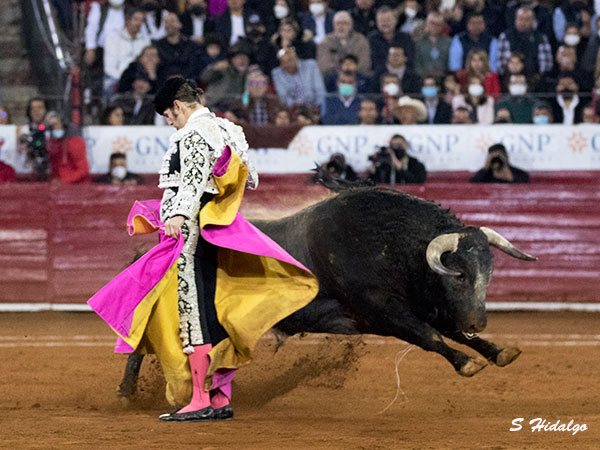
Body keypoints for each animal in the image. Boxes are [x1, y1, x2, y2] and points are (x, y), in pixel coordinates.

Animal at [117, 186, 536, 398]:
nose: (478, 321)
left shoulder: (423, 306)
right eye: (459, 274)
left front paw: (498, 352)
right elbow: (430, 336)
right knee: (140, 347)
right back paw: (129, 392)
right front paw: (468, 363)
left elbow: (447, 331)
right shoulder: (382, 311)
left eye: (488, 273)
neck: (391, 244)